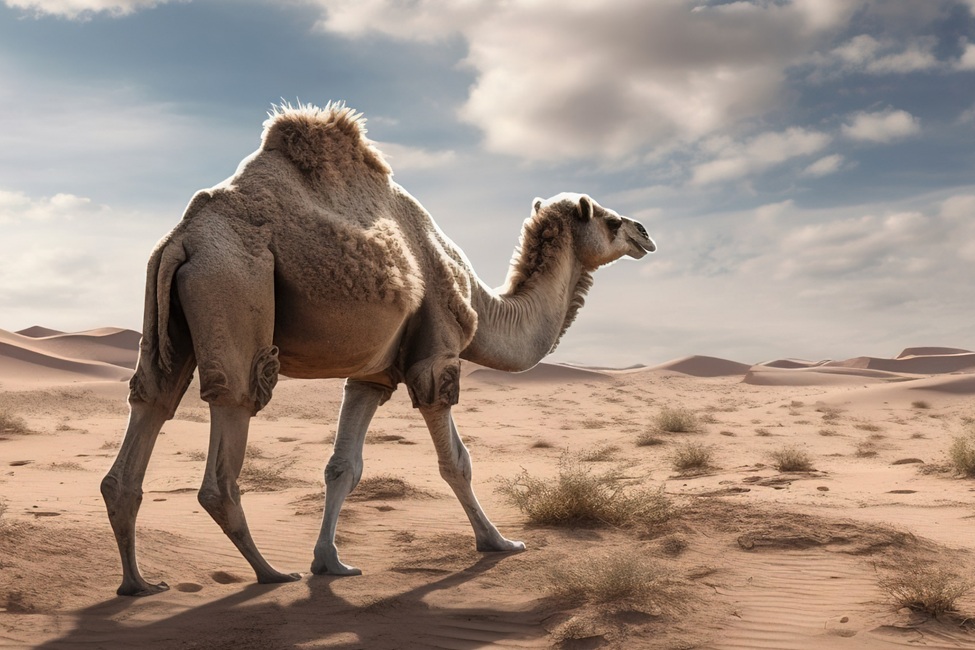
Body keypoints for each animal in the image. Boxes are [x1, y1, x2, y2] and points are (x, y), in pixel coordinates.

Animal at [101, 102, 656, 596]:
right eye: (609, 220)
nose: (644, 232)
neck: (483, 304)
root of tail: (185, 237)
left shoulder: (372, 374)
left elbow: (343, 467)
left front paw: (330, 562)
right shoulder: (436, 356)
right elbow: (457, 462)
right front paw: (498, 542)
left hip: (168, 316)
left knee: (152, 400)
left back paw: (137, 583)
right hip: (234, 287)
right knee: (232, 413)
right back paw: (269, 573)